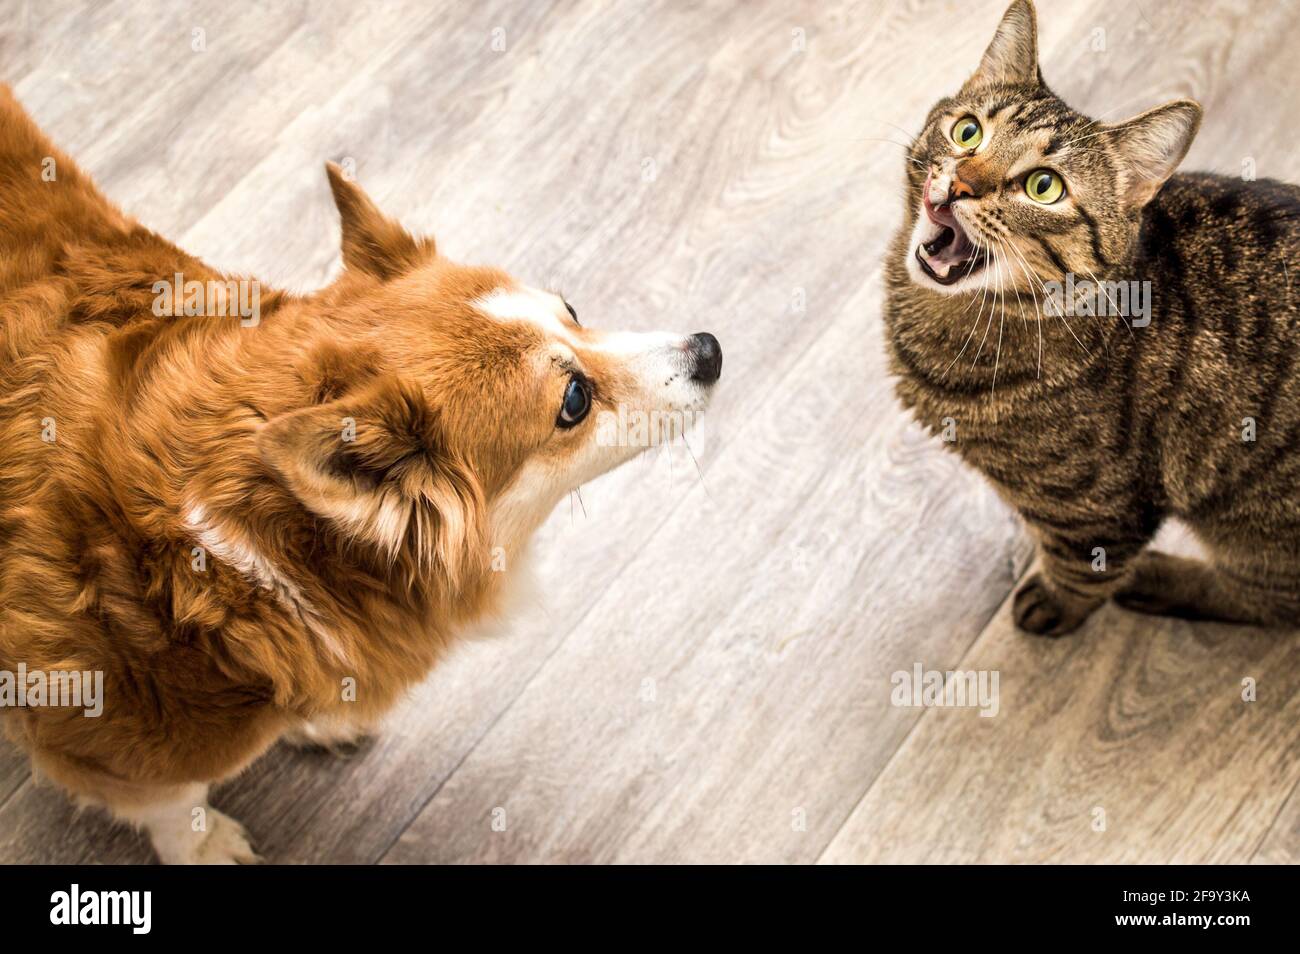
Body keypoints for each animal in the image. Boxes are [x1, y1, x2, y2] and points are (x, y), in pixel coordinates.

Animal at [883, 1, 1300, 642]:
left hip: (1251, 519)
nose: (957, 185)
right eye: (967, 131)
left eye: (1043, 186)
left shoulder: (1097, 511)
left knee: (1270, 603)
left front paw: (1055, 606)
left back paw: (1162, 580)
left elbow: (1081, 570)